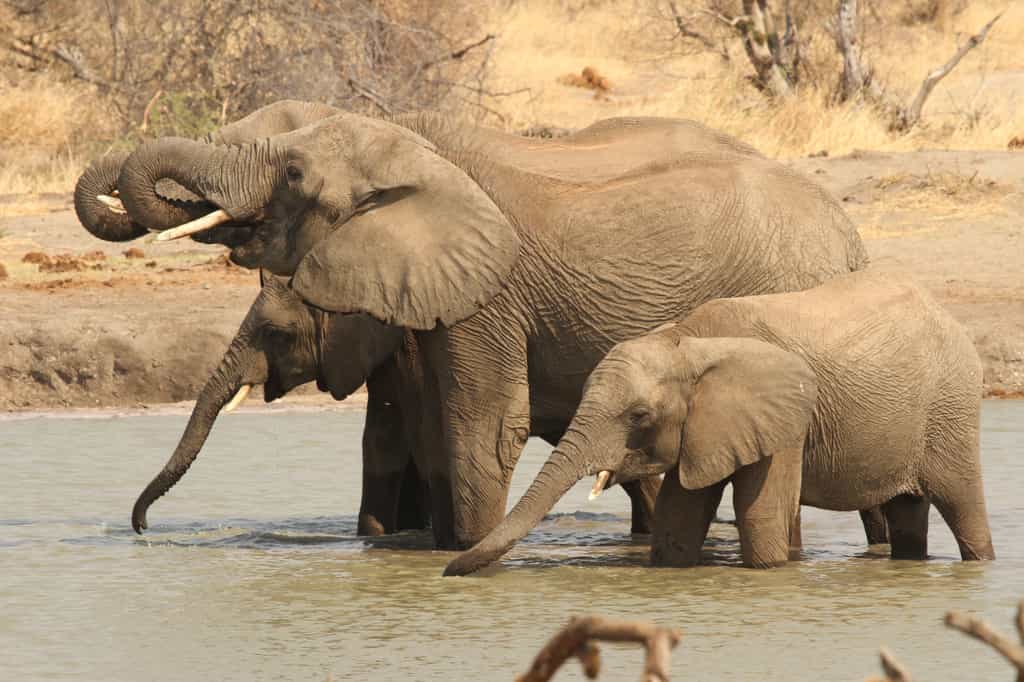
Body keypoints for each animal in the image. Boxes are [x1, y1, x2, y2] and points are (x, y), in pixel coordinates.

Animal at [444, 271, 995, 575]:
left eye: (638, 416)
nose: (447, 573)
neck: (688, 342)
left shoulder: (786, 420)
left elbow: (760, 514)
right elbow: (678, 519)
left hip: (951, 405)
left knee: (962, 505)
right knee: (908, 513)